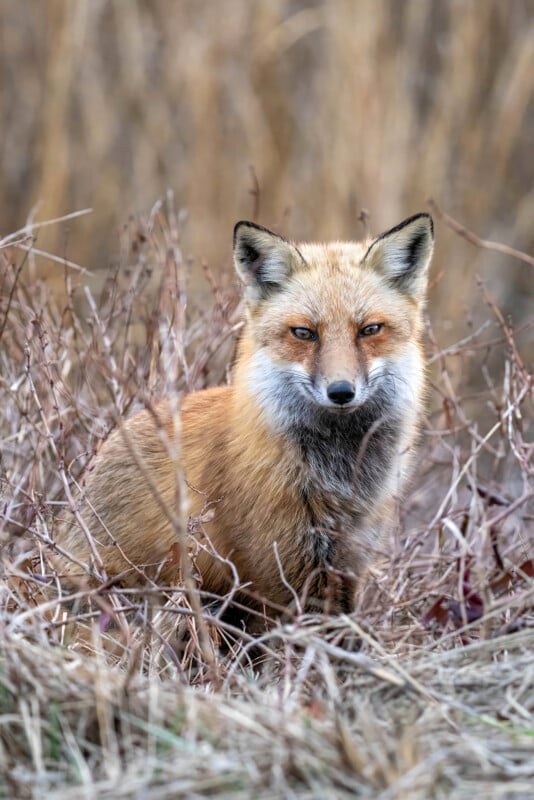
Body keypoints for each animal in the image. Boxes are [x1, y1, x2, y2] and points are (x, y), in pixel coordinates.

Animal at [55, 212, 436, 620]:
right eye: (304, 333)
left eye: (369, 330)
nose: (341, 391)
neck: (336, 478)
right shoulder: (282, 570)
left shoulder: (349, 559)